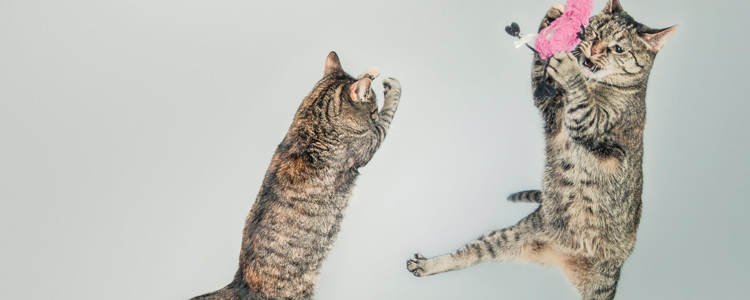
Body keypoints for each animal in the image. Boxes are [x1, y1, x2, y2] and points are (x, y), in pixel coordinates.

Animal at [195, 52, 406, 300]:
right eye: (372, 112)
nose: (372, 117)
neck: (313, 119)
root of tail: (241, 282)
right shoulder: (369, 142)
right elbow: (388, 115)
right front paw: (392, 88)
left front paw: (371, 73)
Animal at [408, 1, 680, 298]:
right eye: (595, 33)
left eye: (618, 48)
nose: (595, 49)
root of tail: (563, 258)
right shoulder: (548, 108)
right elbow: (539, 68)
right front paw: (553, 16)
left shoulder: (590, 123)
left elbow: (581, 100)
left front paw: (569, 67)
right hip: (510, 236)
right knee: (468, 254)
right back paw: (428, 264)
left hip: (602, 285)